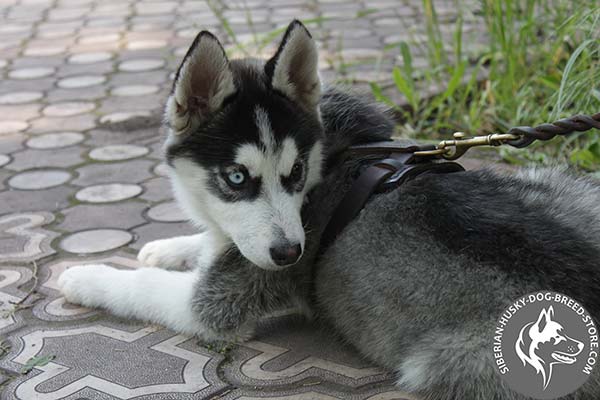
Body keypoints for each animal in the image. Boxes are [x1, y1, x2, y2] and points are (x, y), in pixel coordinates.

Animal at [59, 21, 600, 400]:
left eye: (295, 171)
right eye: (236, 178)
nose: (289, 254)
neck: (332, 156)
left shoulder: (215, 303)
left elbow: (142, 287)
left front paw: (84, 276)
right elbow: (210, 239)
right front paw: (167, 245)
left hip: (447, 361)